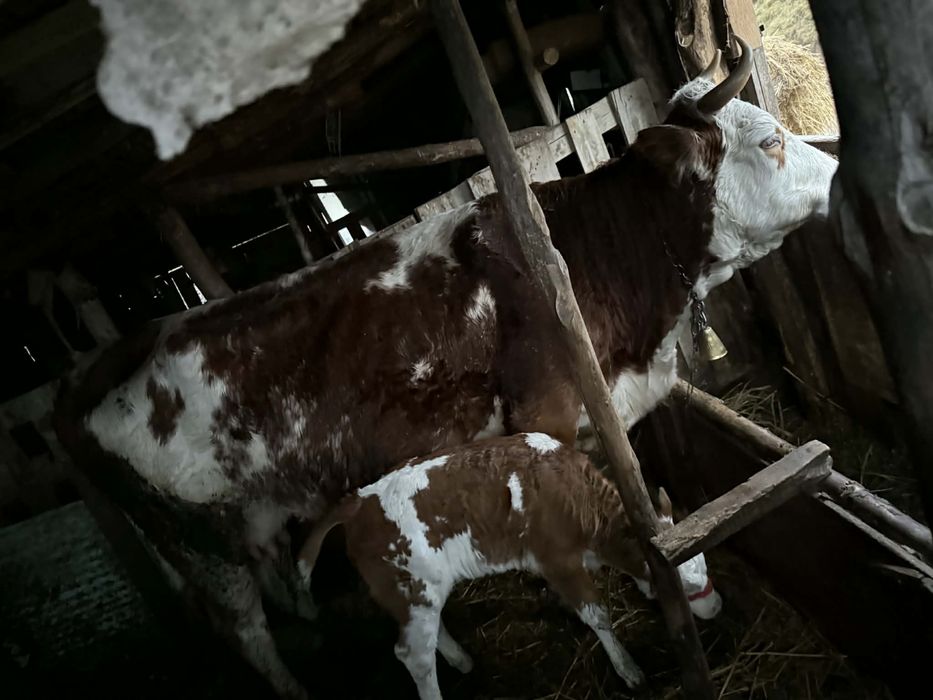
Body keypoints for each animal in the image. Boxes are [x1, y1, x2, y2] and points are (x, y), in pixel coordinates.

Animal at [297, 433, 722, 700]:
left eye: (705, 566)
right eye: (680, 587)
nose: (717, 607)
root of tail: (357, 499)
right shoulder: (557, 559)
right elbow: (597, 615)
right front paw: (629, 669)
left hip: (416, 594)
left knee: (428, 637)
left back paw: (462, 660)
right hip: (410, 589)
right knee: (413, 655)